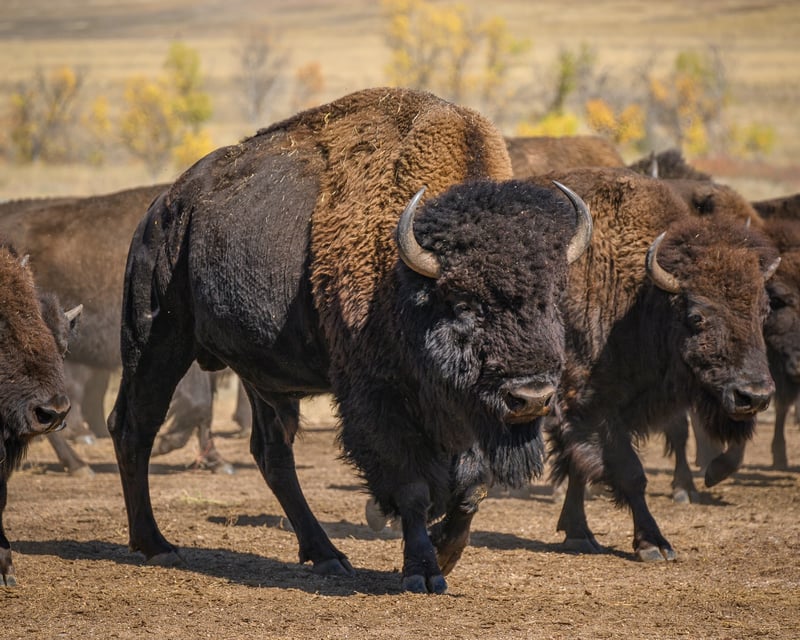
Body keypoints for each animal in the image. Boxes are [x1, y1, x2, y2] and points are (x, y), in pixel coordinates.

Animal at [108, 87, 592, 594]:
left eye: (551, 296)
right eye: (464, 303)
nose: (531, 397)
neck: (408, 280)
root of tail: (165, 206)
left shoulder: (466, 409)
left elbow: (472, 484)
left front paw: (445, 552)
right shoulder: (378, 397)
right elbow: (412, 486)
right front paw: (423, 571)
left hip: (260, 377)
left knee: (272, 454)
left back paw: (326, 555)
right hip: (155, 342)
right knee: (133, 428)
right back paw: (157, 545)